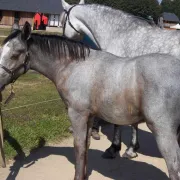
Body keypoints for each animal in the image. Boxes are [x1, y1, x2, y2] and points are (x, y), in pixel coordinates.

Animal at [0, 22, 180, 180]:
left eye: (15, 54)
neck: (73, 65)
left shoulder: (77, 115)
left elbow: (79, 148)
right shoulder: (90, 116)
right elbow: (86, 146)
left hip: (163, 132)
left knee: (173, 166)